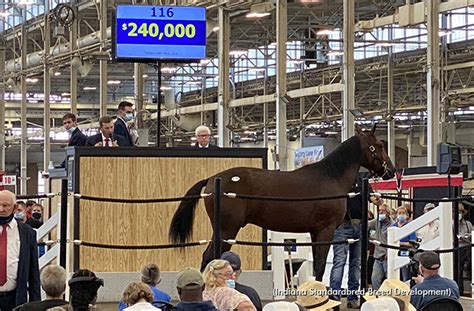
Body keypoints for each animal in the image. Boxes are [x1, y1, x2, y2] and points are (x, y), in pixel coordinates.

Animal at [168, 125, 394, 280]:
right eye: (379, 146)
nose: (390, 171)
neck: (331, 176)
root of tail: (212, 179)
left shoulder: (314, 232)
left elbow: (316, 266)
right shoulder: (325, 230)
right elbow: (321, 266)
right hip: (226, 230)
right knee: (210, 257)